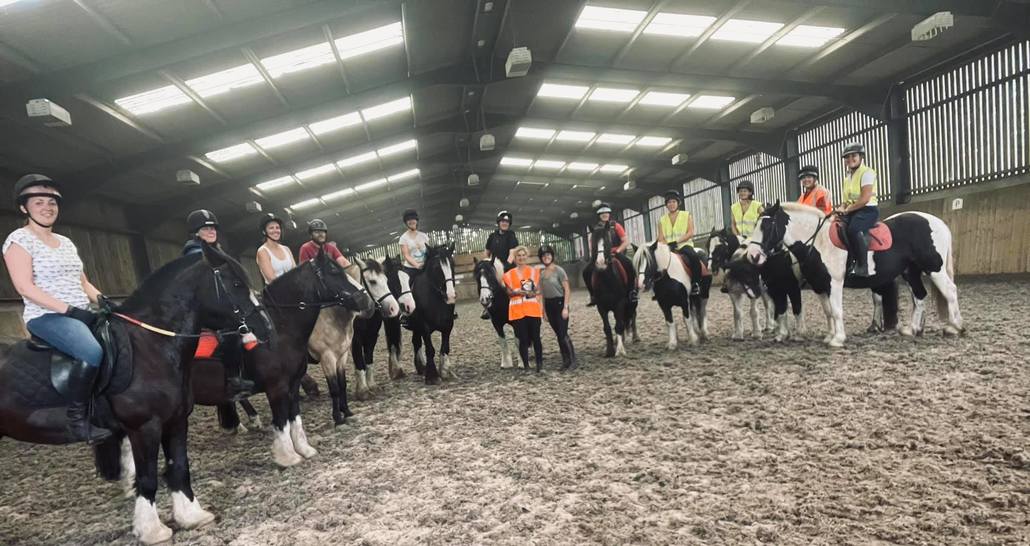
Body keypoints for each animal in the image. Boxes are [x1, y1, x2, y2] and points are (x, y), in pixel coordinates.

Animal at [0, 245, 269, 543]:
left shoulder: (176, 420)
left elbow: (179, 467)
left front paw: (192, 516)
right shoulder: (144, 426)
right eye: (236, 284)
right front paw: (151, 530)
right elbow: (148, 478)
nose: (266, 327)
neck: (150, 346)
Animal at [187, 248, 368, 465]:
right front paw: (288, 457)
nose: (365, 301)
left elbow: (294, 416)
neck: (279, 330)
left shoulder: (295, 382)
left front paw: (305, 450)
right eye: (334, 271)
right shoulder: (278, 386)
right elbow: (281, 419)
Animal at [407, 242, 457, 383]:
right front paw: (432, 376)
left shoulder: (448, 324)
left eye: (452, 264)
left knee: (416, 342)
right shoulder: (424, 326)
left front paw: (444, 370)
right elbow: (430, 349)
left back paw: (421, 367)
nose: (450, 296)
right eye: (436, 267)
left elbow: (445, 348)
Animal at [589, 222, 634, 354]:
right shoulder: (601, 306)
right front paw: (609, 350)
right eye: (593, 242)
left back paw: (634, 337)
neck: (606, 280)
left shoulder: (620, 303)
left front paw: (620, 350)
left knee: (631, 317)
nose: (600, 263)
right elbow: (607, 328)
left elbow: (619, 325)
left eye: (607, 241)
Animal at [745, 201, 959, 346]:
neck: (819, 242)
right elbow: (828, 311)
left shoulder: (834, 283)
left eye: (767, 226)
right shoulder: (819, 286)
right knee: (920, 295)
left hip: (934, 268)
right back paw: (912, 329)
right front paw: (829, 336)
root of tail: (938, 222)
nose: (753, 255)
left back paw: (954, 327)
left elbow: (836, 310)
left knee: (950, 291)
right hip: (910, 271)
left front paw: (838, 339)